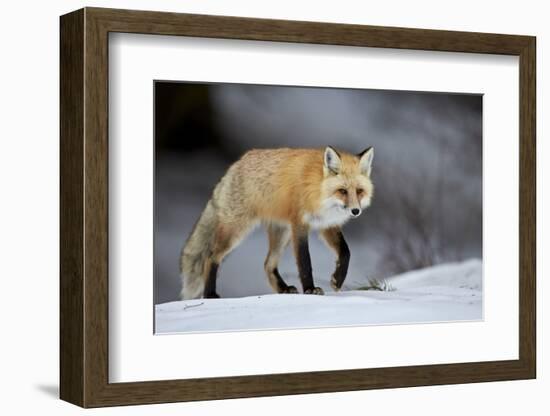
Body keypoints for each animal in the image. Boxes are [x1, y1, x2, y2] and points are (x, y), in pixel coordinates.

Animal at [181, 146, 376, 300]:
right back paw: (209, 294)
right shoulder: (300, 225)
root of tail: (236, 164)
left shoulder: (326, 225)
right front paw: (310, 289)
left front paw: (338, 279)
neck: (318, 190)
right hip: (237, 231)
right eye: (342, 191)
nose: (355, 211)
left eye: (359, 191)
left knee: (268, 264)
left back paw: (284, 289)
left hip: (281, 233)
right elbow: (305, 262)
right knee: (211, 256)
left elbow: (345, 252)